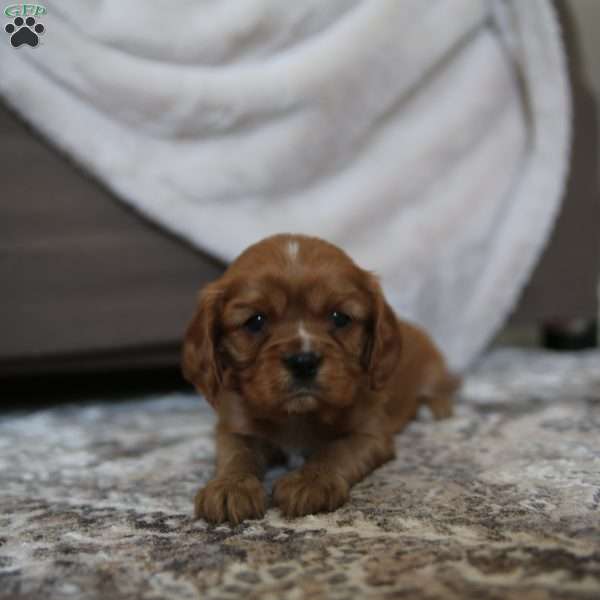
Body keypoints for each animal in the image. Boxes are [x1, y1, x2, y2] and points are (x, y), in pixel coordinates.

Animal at [180, 234, 458, 524]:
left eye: (340, 317)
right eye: (255, 321)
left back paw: (434, 409)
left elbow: (336, 450)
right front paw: (230, 486)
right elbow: (236, 454)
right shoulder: (234, 426)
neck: (297, 416)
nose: (304, 361)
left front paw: (311, 481)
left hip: (434, 370)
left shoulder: (370, 433)